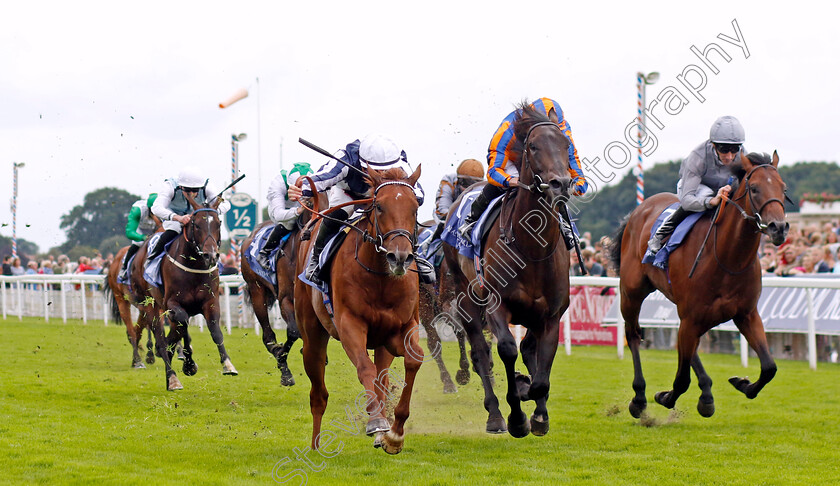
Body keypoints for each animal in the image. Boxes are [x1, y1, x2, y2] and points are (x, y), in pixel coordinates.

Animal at [296, 167, 426, 456]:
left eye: (415, 208)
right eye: (379, 206)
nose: (400, 257)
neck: (381, 278)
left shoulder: (400, 328)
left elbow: (412, 360)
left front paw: (394, 434)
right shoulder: (349, 325)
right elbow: (365, 369)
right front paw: (377, 423)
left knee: (381, 381)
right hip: (312, 337)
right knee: (318, 394)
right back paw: (315, 445)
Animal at [440, 101, 572, 436]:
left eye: (566, 145)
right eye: (533, 146)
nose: (561, 184)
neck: (533, 250)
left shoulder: (551, 315)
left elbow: (541, 371)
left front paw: (538, 413)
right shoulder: (496, 306)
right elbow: (507, 350)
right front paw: (516, 417)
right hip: (466, 297)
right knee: (480, 352)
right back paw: (496, 415)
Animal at [608, 151, 792, 418]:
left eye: (783, 188)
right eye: (755, 188)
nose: (779, 228)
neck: (727, 258)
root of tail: (638, 211)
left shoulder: (746, 314)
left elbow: (769, 367)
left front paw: (743, 384)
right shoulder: (692, 316)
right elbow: (681, 380)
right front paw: (664, 397)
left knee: (688, 345)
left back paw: (706, 393)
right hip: (632, 293)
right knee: (633, 335)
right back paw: (640, 397)